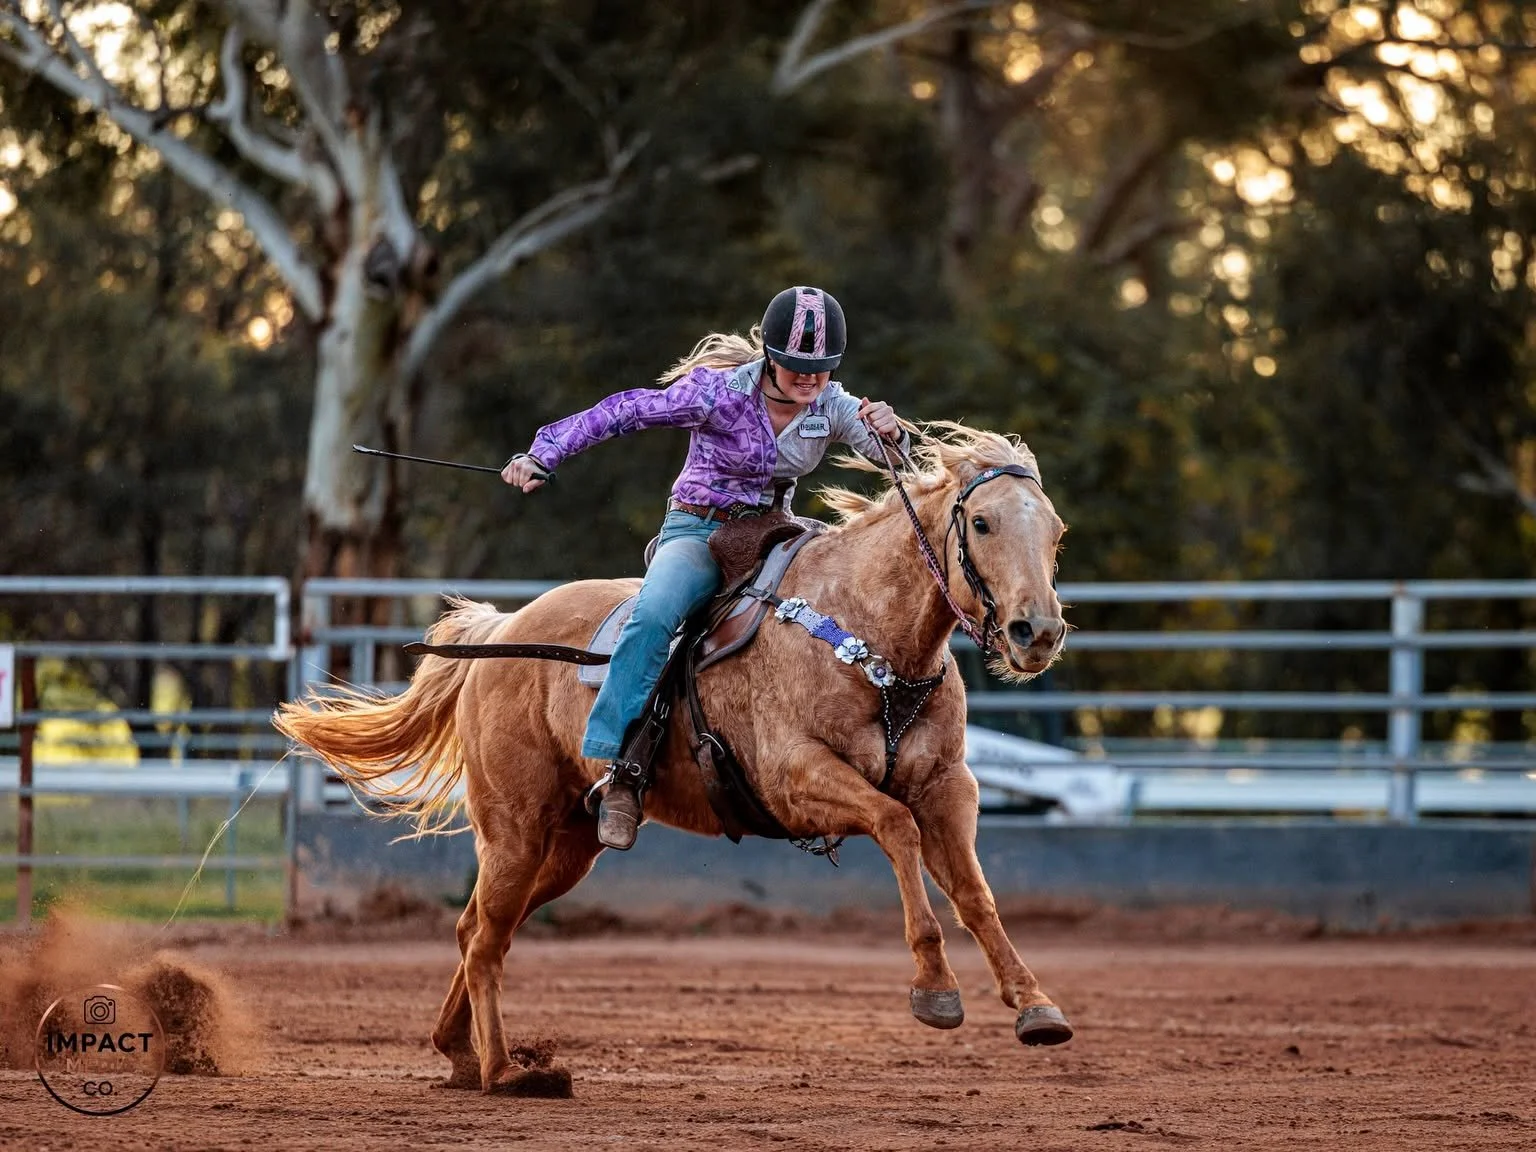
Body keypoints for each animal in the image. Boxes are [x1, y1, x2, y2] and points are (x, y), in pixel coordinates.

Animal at [275, 422, 1072, 1095]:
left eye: (1056, 531)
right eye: (981, 522)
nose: (1036, 631)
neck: (866, 633)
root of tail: (504, 629)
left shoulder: (947, 787)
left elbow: (975, 894)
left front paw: (1036, 1005)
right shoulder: (797, 778)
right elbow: (897, 830)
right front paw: (935, 989)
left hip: (565, 847)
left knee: (477, 929)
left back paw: (461, 1055)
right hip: (513, 828)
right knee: (488, 938)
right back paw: (507, 1071)